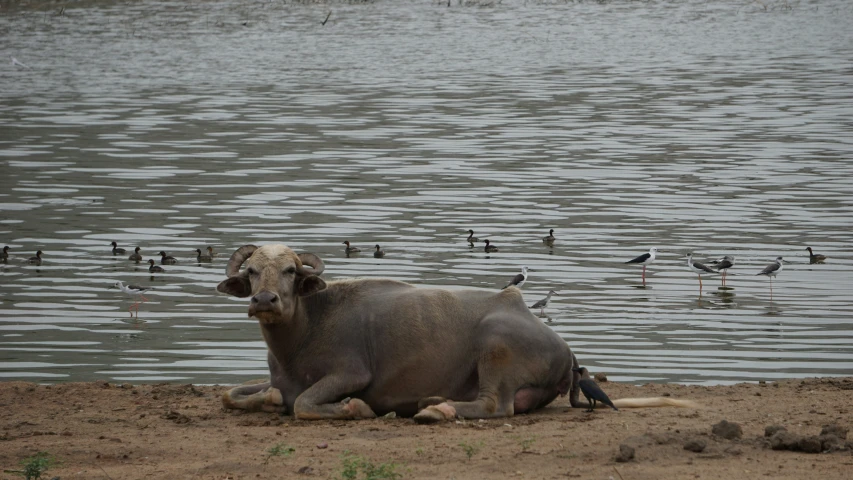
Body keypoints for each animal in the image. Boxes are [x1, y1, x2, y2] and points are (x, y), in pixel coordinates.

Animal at [216, 244, 688, 420]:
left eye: (291, 272)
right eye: (252, 272)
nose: (264, 300)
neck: (301, 338)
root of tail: (566, 349)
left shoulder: (352, 373)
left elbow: (305, 404)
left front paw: (355, 408)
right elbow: (232, 394)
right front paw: (266, 397)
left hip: (496, 345)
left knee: (497, 405)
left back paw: (437, 409)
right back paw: (431, 402)